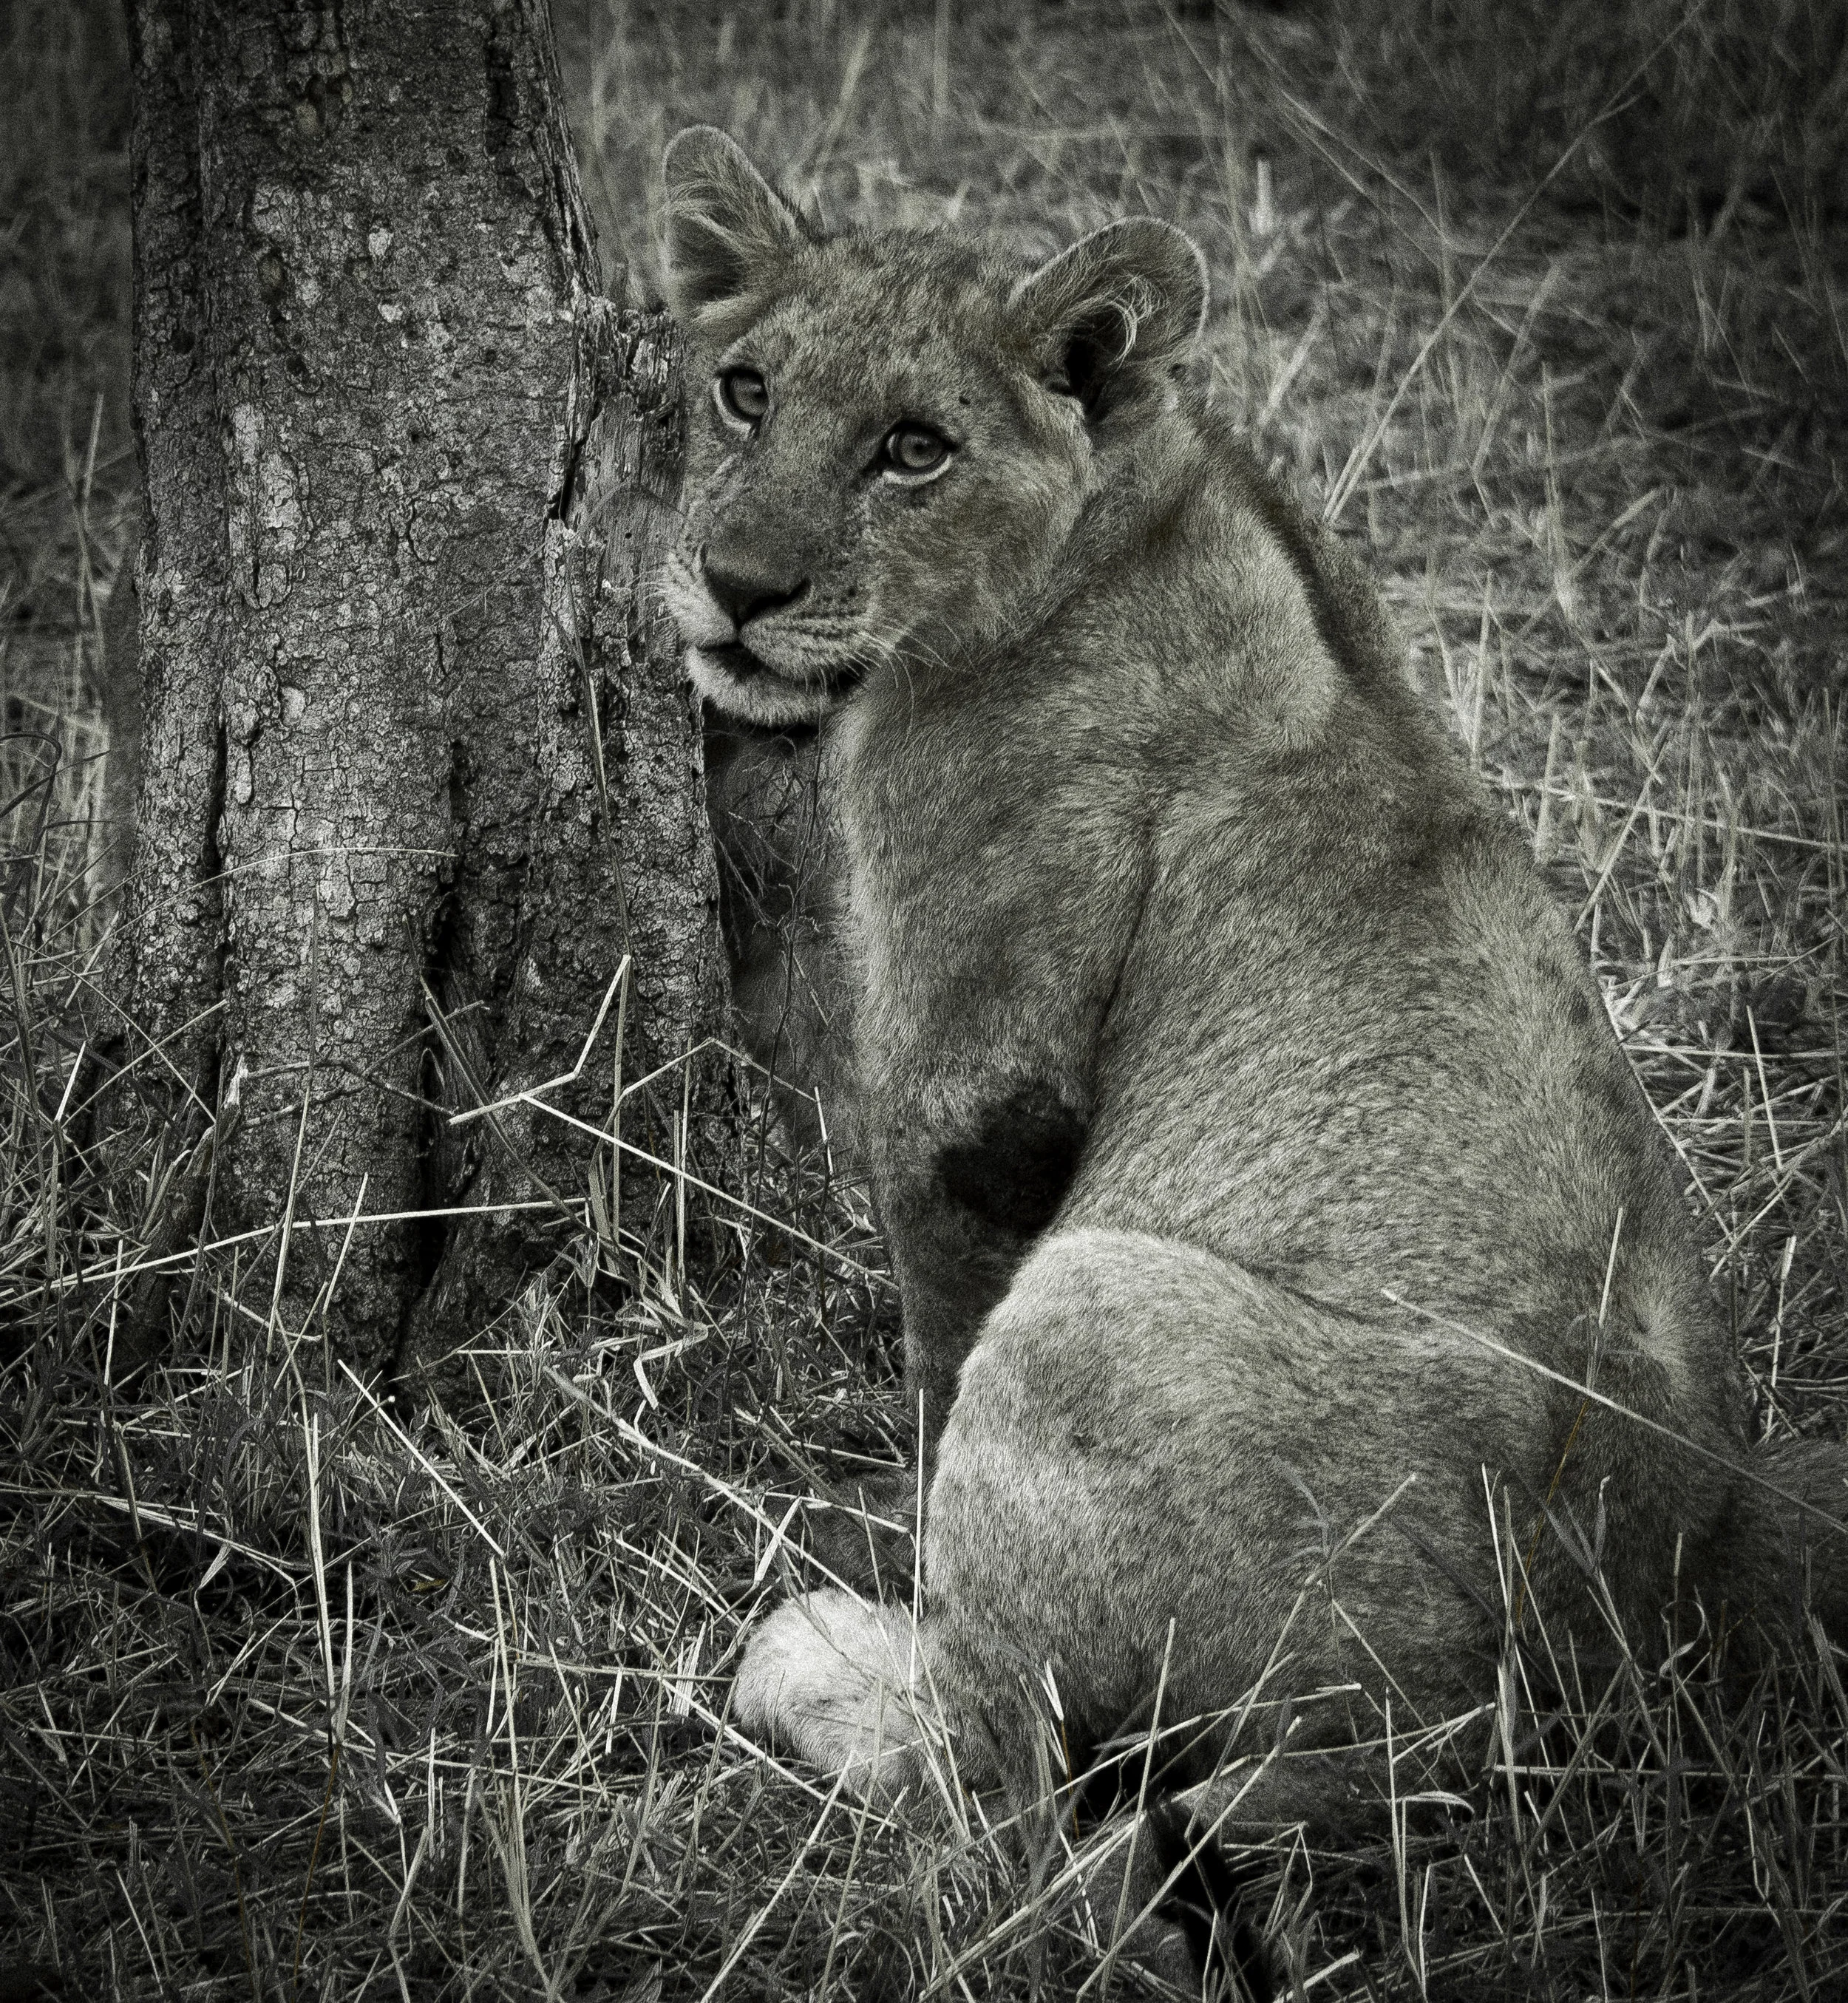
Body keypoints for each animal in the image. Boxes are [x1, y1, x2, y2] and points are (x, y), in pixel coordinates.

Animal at [658, 126, 1848, 1854]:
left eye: (913, 450)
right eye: (745, 390)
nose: (734, 582)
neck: (1147, 502)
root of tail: (1568, 1681)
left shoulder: (974, 1077)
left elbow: (936, 1345)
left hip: (1096, 1307)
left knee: (1001, 1794)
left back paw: (816, 1659)